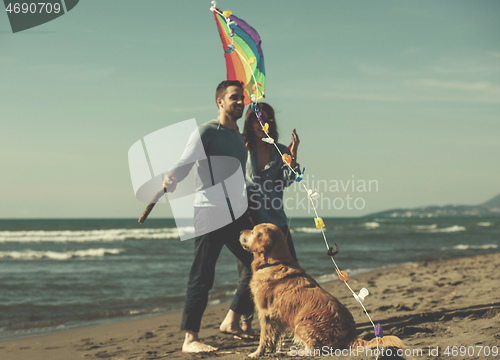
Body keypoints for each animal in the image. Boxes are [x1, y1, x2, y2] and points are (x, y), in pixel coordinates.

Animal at [240, 224, 404, 356]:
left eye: (253, 231)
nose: (240, 230)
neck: (274, 262)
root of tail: (350, 335)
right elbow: (273, 337)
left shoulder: (265, 313)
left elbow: (263, 337)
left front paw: (256, 353)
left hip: (301, 324)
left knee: (315, 350)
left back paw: (296, 352)